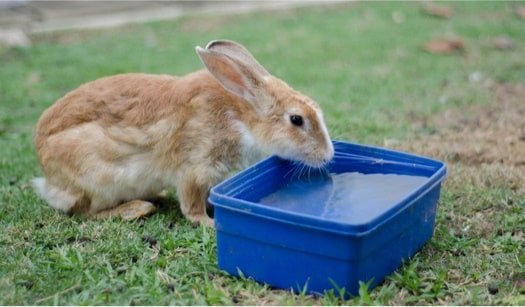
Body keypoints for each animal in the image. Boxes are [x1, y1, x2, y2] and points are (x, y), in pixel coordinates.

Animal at [32, 38, 334, 227]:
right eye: (296, 120)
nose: (328, 156)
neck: (241, 119)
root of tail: (47, 175)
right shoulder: (194, 169)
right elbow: (191, 205)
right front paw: (208, 223)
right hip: (95, 178)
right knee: (83, 211)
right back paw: (136, 209)